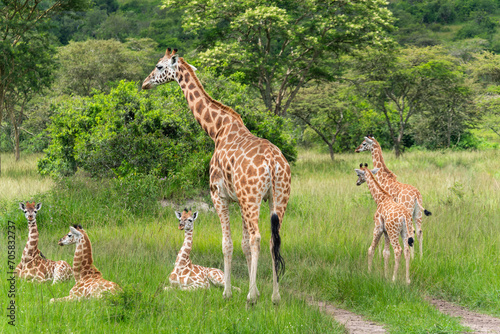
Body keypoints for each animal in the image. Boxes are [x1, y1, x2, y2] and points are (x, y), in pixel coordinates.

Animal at [141, 47, 292, 306]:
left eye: (159, 66)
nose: (144, 83)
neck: (216, 130)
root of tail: (274, 163)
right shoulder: (239, 200)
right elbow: (242, 244)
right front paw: (254, 289)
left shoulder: (219, 196)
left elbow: (228, 243)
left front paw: (229, 292)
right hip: (278, 197)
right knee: (274, 240)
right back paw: (275, 296)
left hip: (253, 199)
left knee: (258, 238)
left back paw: (251, 298)